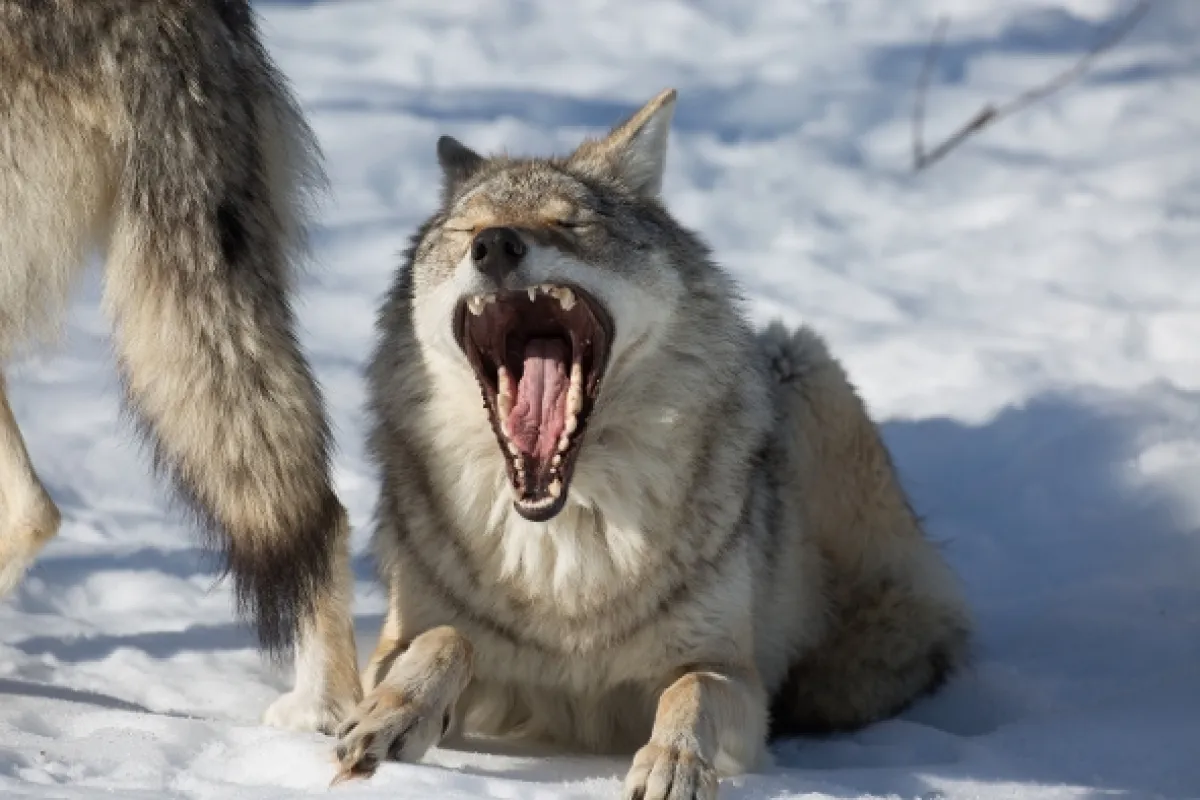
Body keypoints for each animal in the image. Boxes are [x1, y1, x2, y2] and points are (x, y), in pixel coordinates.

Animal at [336, 89, 972, 799]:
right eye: (466, 230)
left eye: (570, 222)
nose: (496, 245)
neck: (565, 538)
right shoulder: (397, 643)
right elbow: (448, 639)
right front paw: (393, 714)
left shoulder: (735, 675)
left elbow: (690, 689)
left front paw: (674, 761)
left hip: (799, 360)